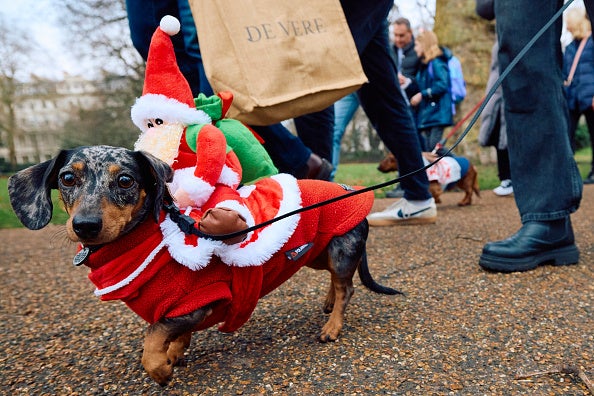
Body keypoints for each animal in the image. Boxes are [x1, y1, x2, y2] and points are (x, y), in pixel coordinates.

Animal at [6, 145, 400, 384]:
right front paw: (175, 354)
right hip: (317, 254)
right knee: (335, 282)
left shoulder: (198, 302)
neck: (150, 243)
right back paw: (328, 304)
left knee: (347, 287)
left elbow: (152, 341)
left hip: (341, 250)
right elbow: (174, 335)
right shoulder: (184, 311)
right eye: (67, 178)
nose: (85, 225)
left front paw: (162, 369)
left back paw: (333, 325)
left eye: (125, 180)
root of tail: (350, 189)